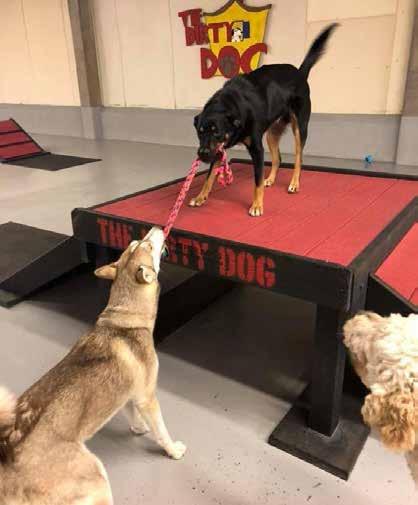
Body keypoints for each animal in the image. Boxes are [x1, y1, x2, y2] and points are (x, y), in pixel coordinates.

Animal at [0, 227, 186, 505]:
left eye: (137, 242)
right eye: (148, 246)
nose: (155, 228)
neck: (126, 318)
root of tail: (10, 449)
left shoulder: (127, 394)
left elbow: (132, 414)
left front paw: (139, 428)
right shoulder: (147, 397)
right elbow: (161, 432)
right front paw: (172, 449)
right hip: (96, 476)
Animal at [191, 23, 338, 216]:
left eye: (217, 132)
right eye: (200, 133)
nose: (202, 154)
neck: (229, 104)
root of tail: (299, 73)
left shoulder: (256, 149)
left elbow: (257, 182)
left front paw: (257, 205)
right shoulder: (218, 150)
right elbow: (208, 177)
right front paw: (200, 197)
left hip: (300, 128)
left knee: (298, 159)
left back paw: (294, 183)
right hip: (272, 133)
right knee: (278, 159)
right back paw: (271, 179)